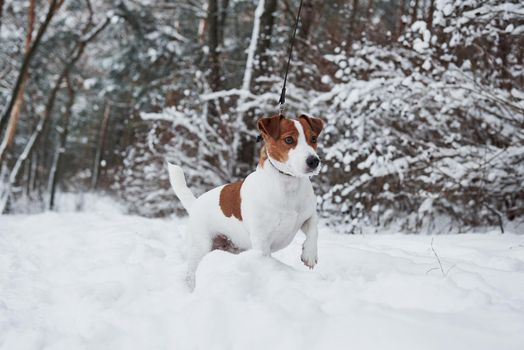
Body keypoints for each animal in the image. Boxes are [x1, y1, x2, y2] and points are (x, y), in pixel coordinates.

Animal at [168, 113, 324, 288]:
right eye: (289, 140)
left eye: (313, 138)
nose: (314, 161)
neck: (287, 185)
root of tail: (195, 203)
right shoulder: (261, 242)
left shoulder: (307, 215)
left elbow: (313, 228)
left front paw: (309, 253)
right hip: (201, 246)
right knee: (192, 270)